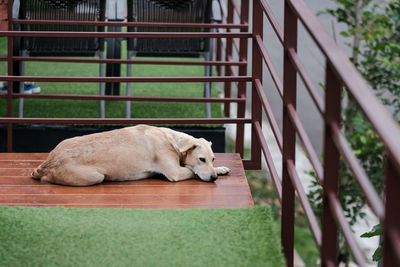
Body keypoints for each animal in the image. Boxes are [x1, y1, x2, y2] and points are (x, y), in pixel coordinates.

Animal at [30, 125, 230, 186]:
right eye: (201, 159)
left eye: (212, 159)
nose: (213, 178)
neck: (171, 140)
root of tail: (49, 162)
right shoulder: (175, 172)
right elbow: (190, 170)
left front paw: (220, 169)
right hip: (95, 177)